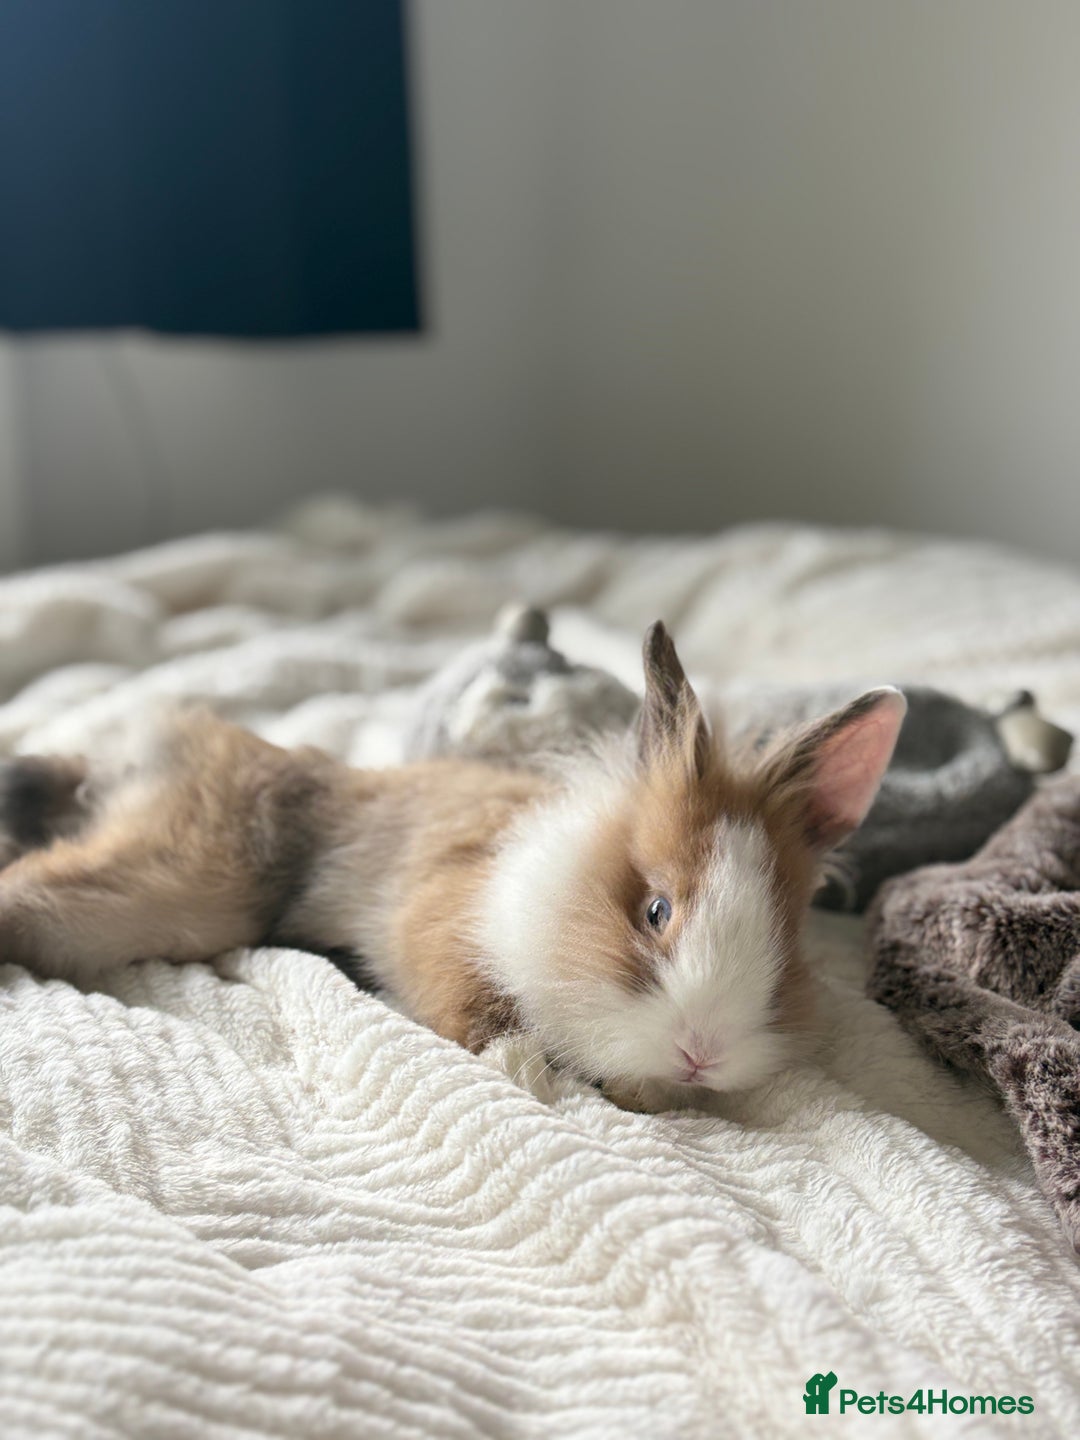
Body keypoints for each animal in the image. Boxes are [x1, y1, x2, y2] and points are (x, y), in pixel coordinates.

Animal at [0, 622, 905, 1111]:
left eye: (787, 946)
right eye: (655, 911)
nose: (702, 1053)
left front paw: (650, 1092)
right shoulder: (439, 918)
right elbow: (473, 1013)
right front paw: (526, 1072)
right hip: (185, 880)